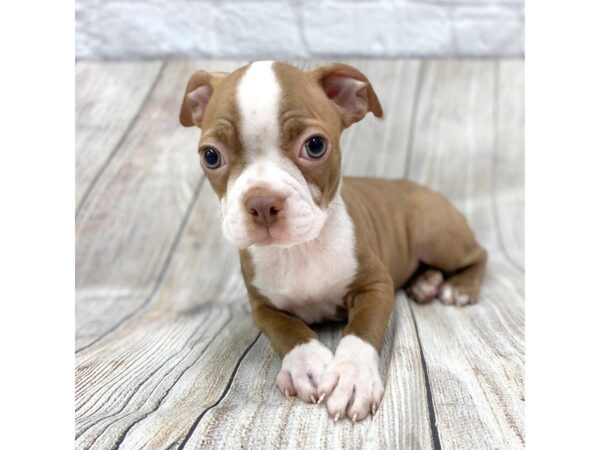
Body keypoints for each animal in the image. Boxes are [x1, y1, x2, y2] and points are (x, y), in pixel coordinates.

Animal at [179, 61, 488, 424]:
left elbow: (361, 331)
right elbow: (287, 330)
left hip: (436, 234)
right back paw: (425, 282)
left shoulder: (375, 285)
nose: (262, 202)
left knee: (478, 254)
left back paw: (459, 286)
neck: (299, 248)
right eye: (211, 156)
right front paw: (307, 363)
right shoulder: (262, 307)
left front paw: (352, 378)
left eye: (314, 146)